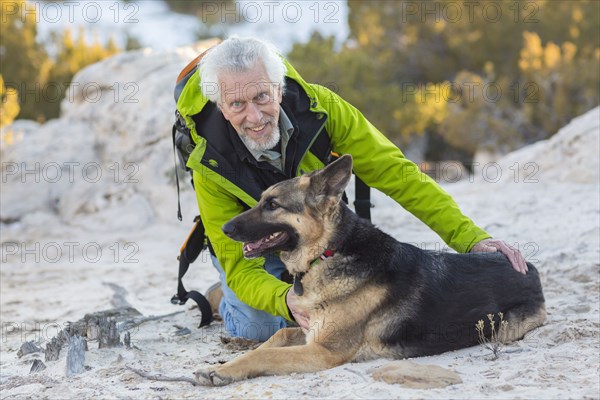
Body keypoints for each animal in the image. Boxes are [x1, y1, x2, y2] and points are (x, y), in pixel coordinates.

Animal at [195, 154, 548, 384]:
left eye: (272, 205)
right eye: (261, 200)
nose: (222, 228)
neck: (328, 253)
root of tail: (529, 268)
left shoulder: (324, 351)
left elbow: (265, 355)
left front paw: (220, 371)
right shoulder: (310, 333)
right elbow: (277, 335)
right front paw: (228, 361)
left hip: (504, 328)